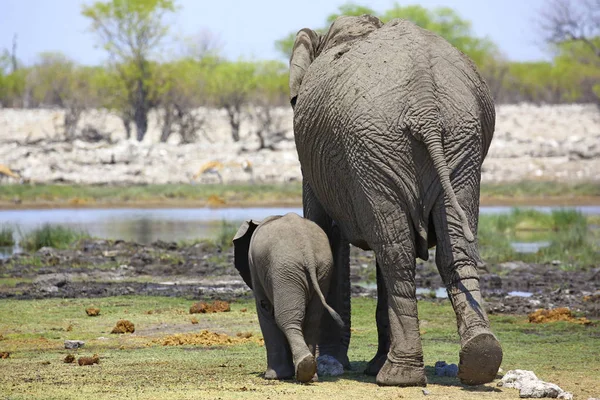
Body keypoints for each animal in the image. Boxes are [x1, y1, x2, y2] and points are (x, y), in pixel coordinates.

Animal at [233, 214, 344, 382]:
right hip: (321, 270)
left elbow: (265, 309)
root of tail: (308, 250)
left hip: (285, 270)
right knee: (312, 320)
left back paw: (304, 370)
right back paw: (310, 374)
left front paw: (272, 377)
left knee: (287, 318)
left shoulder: (256, 270)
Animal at [290, 16, 502, 388]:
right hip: (453, 142)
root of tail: (425, 104)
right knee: (443, 247)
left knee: (395, 254)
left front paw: (329, 363)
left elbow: (324, 232)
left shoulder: (318, 161)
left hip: (378, 146)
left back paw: (397, 376)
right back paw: (479, 358)